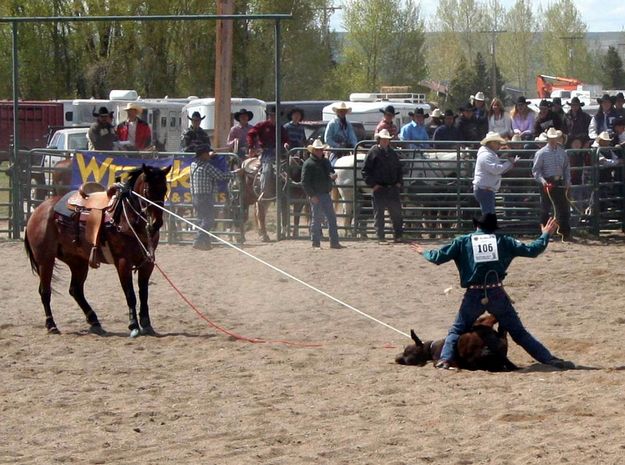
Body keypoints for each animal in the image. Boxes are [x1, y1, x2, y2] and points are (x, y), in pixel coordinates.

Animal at [24, 165, 171, 336]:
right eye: (147, 190)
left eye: (164, 189)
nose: (156, 223)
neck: (125, 218)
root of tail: (37, 211)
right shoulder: (123, 263)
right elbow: (131, 294)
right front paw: (133, 325)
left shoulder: (148, 263)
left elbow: (144, 293)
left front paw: (146, 324)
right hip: (45, 259)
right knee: (45, 291)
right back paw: (51, 325)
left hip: (77, 261)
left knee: (75, 290)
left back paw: (94, 321)